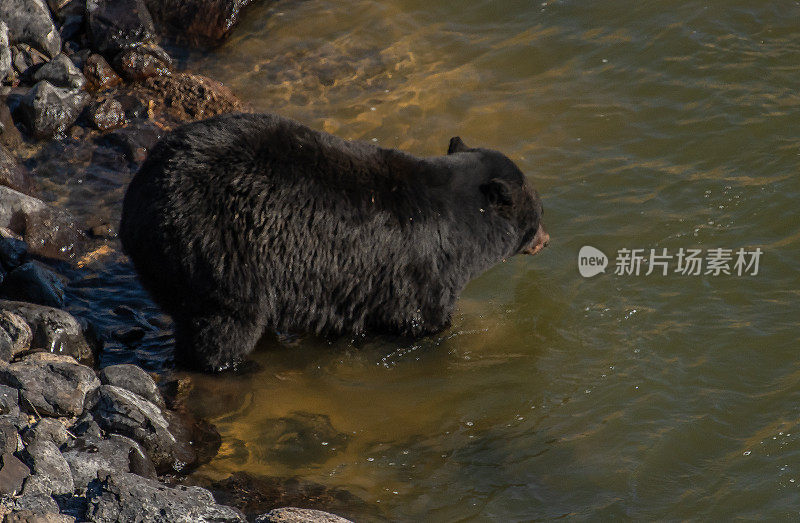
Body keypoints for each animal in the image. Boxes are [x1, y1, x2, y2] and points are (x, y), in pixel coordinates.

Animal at [119, 113, 552, 372]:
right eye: (540, 212)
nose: (547, 240)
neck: (459, 226)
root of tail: (135, 206)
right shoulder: (418, 270)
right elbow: (420, 321)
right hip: (218, 254)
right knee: (223, 327)